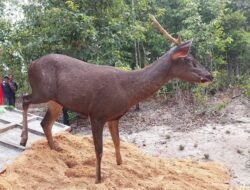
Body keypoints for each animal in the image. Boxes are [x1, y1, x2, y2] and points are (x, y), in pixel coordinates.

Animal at [19, 16, 212, 184]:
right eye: (190, 61)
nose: (210, 76)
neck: (127, 90)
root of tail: (30, 65)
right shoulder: (96, 113)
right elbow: (99, 150)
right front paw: (98, 179)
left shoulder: (114, 117)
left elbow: (117, 142)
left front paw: (120, 165)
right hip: (42, 90)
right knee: (24, 99)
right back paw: (24, 139)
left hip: (56, 101)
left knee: (45, 122)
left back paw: (55, 149)